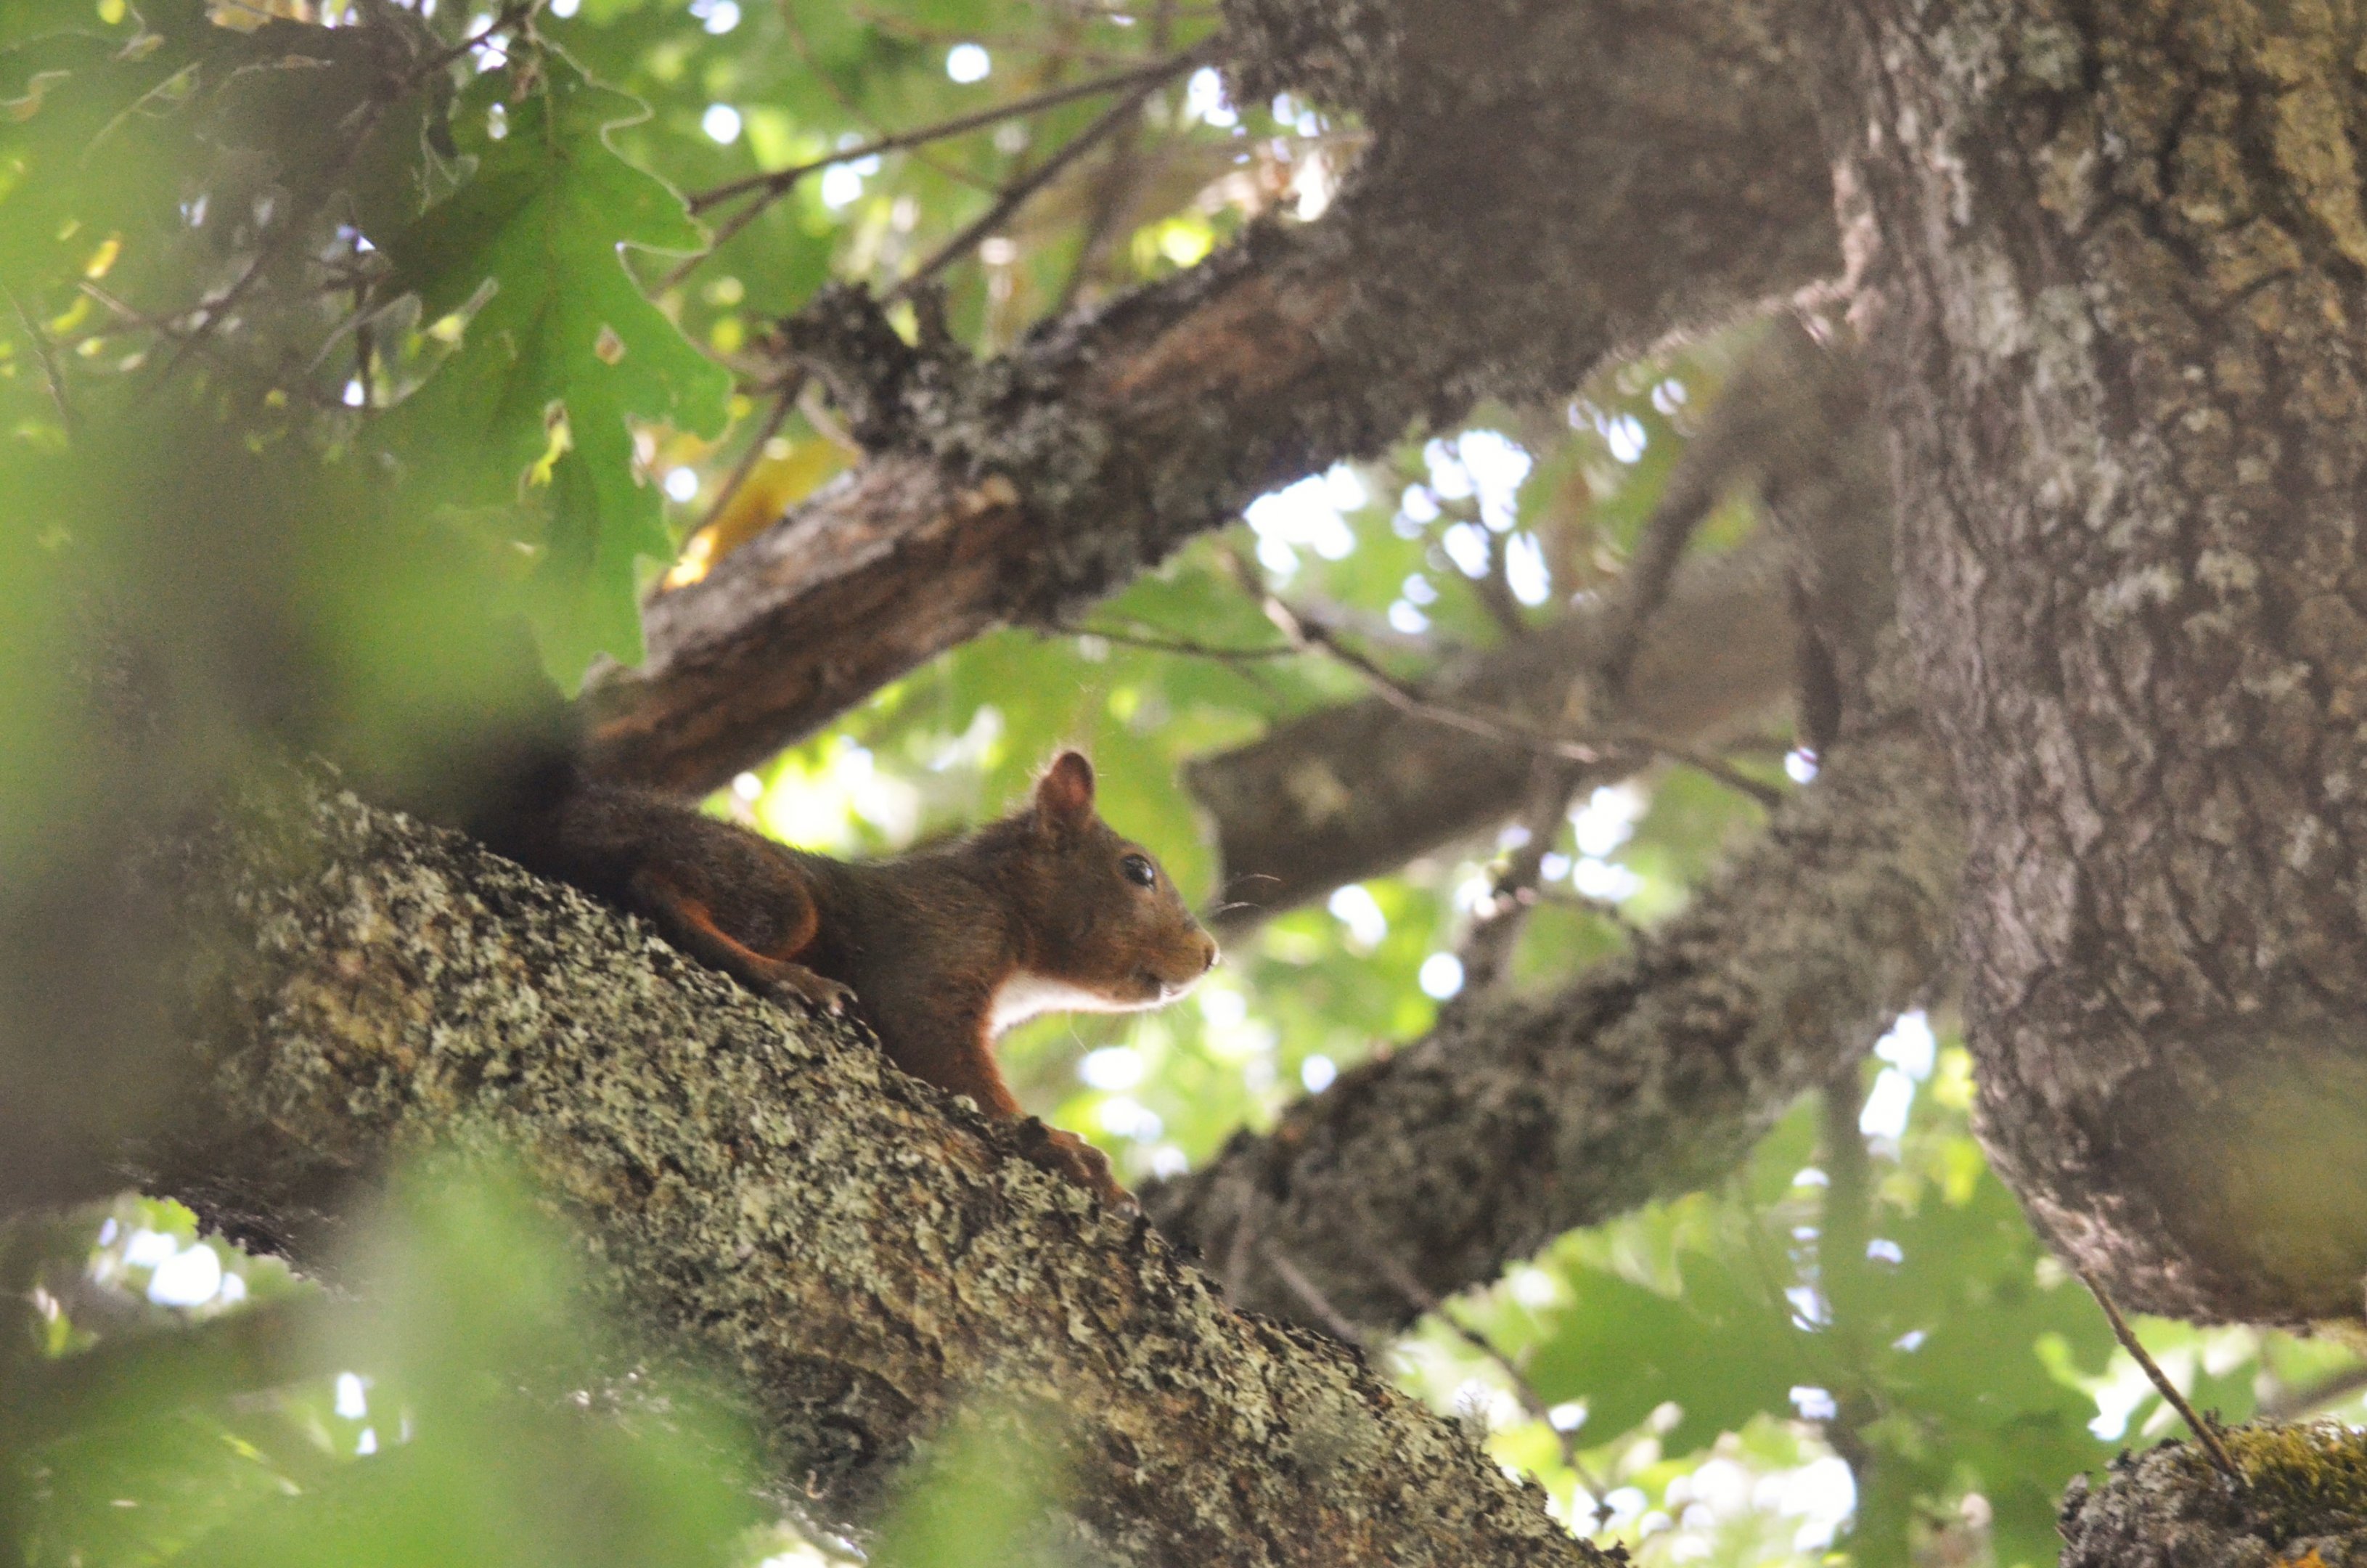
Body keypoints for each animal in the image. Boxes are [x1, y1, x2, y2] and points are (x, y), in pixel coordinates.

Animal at [478, 750, 1218, 1205]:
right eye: (1137, 870)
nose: (1210, 954)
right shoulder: (937, 947)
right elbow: (946, 1060)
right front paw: (1062, 1148)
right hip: (769, 887)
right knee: (655, 887)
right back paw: (788, 978)